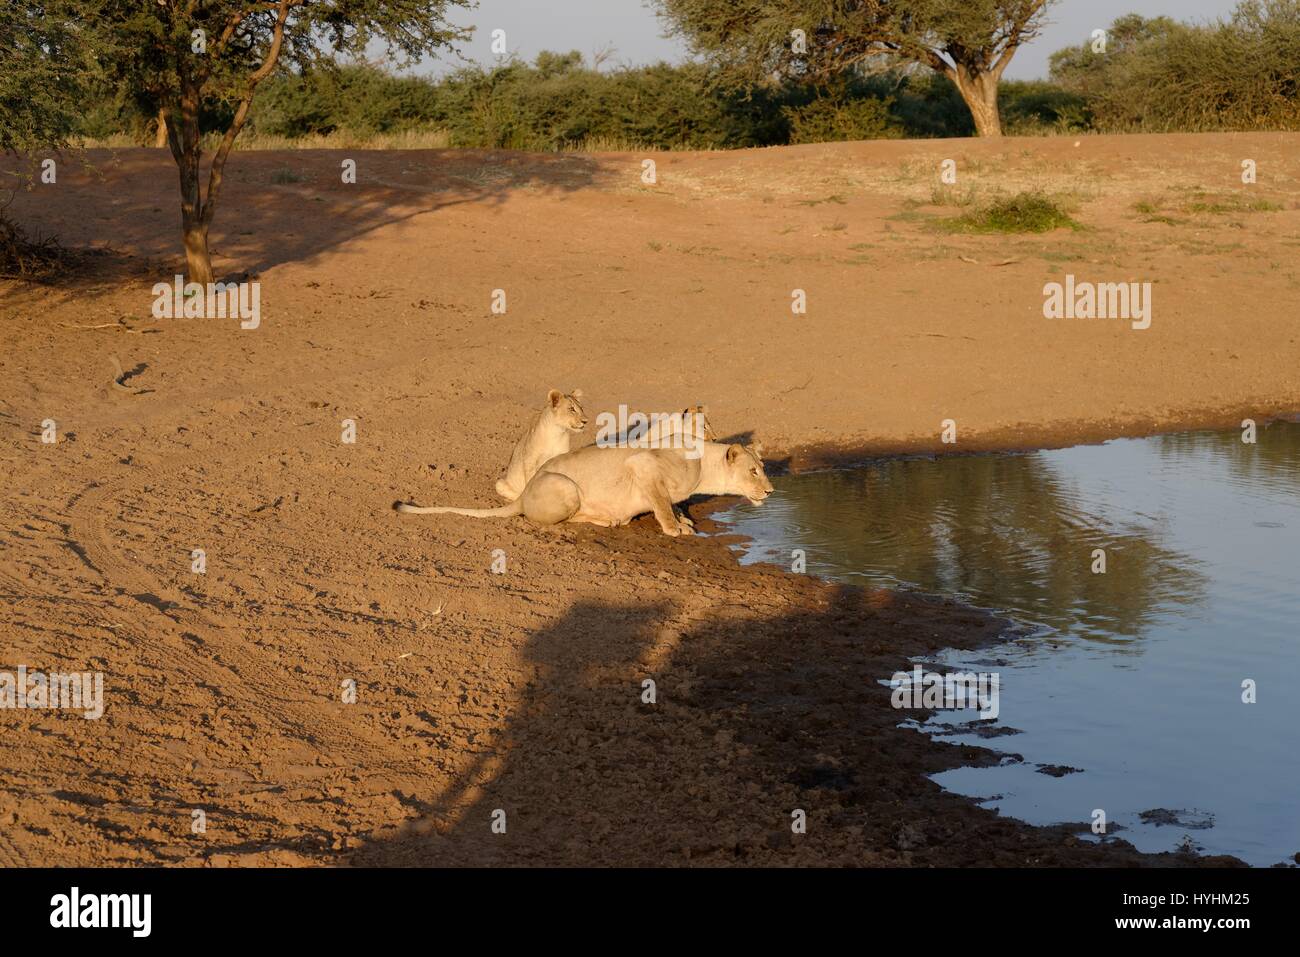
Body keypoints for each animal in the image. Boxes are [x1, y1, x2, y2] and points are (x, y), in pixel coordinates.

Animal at [395, 436, 769, 535]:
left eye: (762, 468)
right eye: (753, 471)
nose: (770, 491)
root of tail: (523, 495)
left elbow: (671, 502)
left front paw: (684, 520)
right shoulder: (642, 465)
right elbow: (661, 504)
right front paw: (675, 529)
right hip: (566, 487)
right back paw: (607, 519)